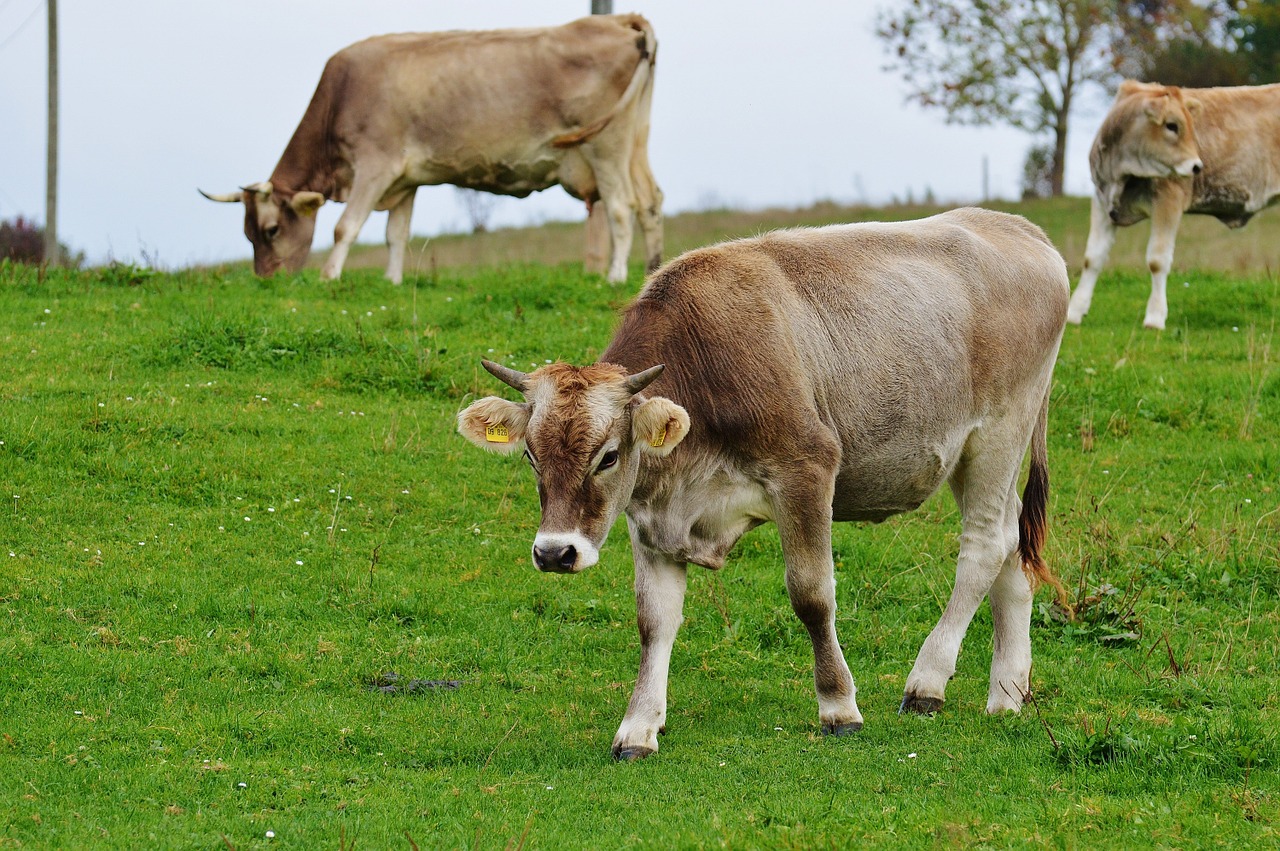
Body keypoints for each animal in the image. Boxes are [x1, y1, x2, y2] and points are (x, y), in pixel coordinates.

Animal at [202, 14, 660, 285]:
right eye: (247, 233)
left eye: (271, 230)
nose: (266, 278)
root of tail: (619, 20)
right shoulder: (406, 181)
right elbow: (395, 235)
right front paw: (392, 281)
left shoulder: (375, 165)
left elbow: (346, 227)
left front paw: (330, 276)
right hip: (635, 141)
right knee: (650, 202)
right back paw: (653, 270)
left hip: (605, 147)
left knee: (621, 208)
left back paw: (615, 276)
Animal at [458, 206, 1070, 757]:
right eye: (531, 456)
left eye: (608, 457)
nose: (554, 552)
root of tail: (1021, 228)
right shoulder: (652, 519)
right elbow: (654, 622)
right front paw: (638, 728)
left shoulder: (806, 470)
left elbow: (812, 596)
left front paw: (839, 708)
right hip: (976, 454)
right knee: (1011, 546)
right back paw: (1008, 692)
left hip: (998, 433)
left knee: (984, 545)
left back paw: (927, 682)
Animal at [1064, 80, 1280, 327]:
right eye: (1171, 125)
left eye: (1191, 126)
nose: (1197, 166)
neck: (1120, 172)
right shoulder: (1102, 200)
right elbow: (1093, 257)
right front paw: (1074, 311)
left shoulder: (1169, 199)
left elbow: (1157, 260)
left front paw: (1155, 317)